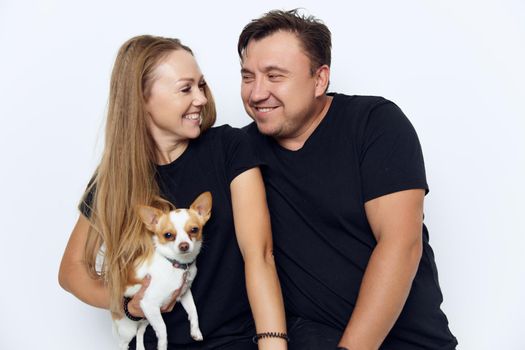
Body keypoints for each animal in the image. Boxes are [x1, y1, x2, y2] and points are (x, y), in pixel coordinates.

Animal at [113, 191, 212, 350]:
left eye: (194, 230)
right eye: (168, 235)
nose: (184, 245)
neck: (175, 264)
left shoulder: (184, 293)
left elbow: (193, 311)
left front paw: (196, 331)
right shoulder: (149, 304)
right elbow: (163, 330)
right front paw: (162, 346)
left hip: (146, 319)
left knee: (141, 331)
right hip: (128, 328)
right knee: (123, 343)